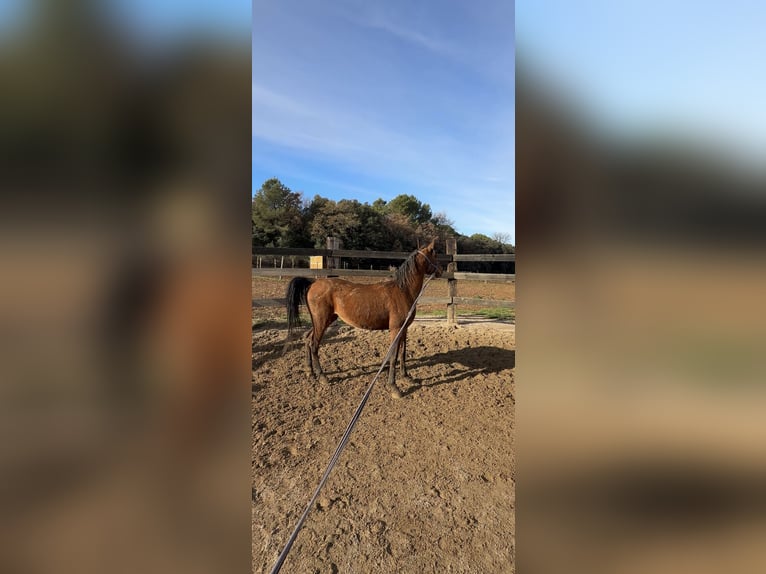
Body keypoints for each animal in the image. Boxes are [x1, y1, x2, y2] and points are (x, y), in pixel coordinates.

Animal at [285, 239, 442, 398]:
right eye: (434, 254)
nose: (441, 271)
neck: (403, 291)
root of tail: (313, 283)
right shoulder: (395, 329)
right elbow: (393, 356)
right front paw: (394, 387)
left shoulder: (403, 329)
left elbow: (403, 353)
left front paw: (406, 377)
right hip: (321, 321)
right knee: (314, 344)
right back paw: (322, 376)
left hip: (323, 320)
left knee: (307, 338)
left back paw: (310, 372)